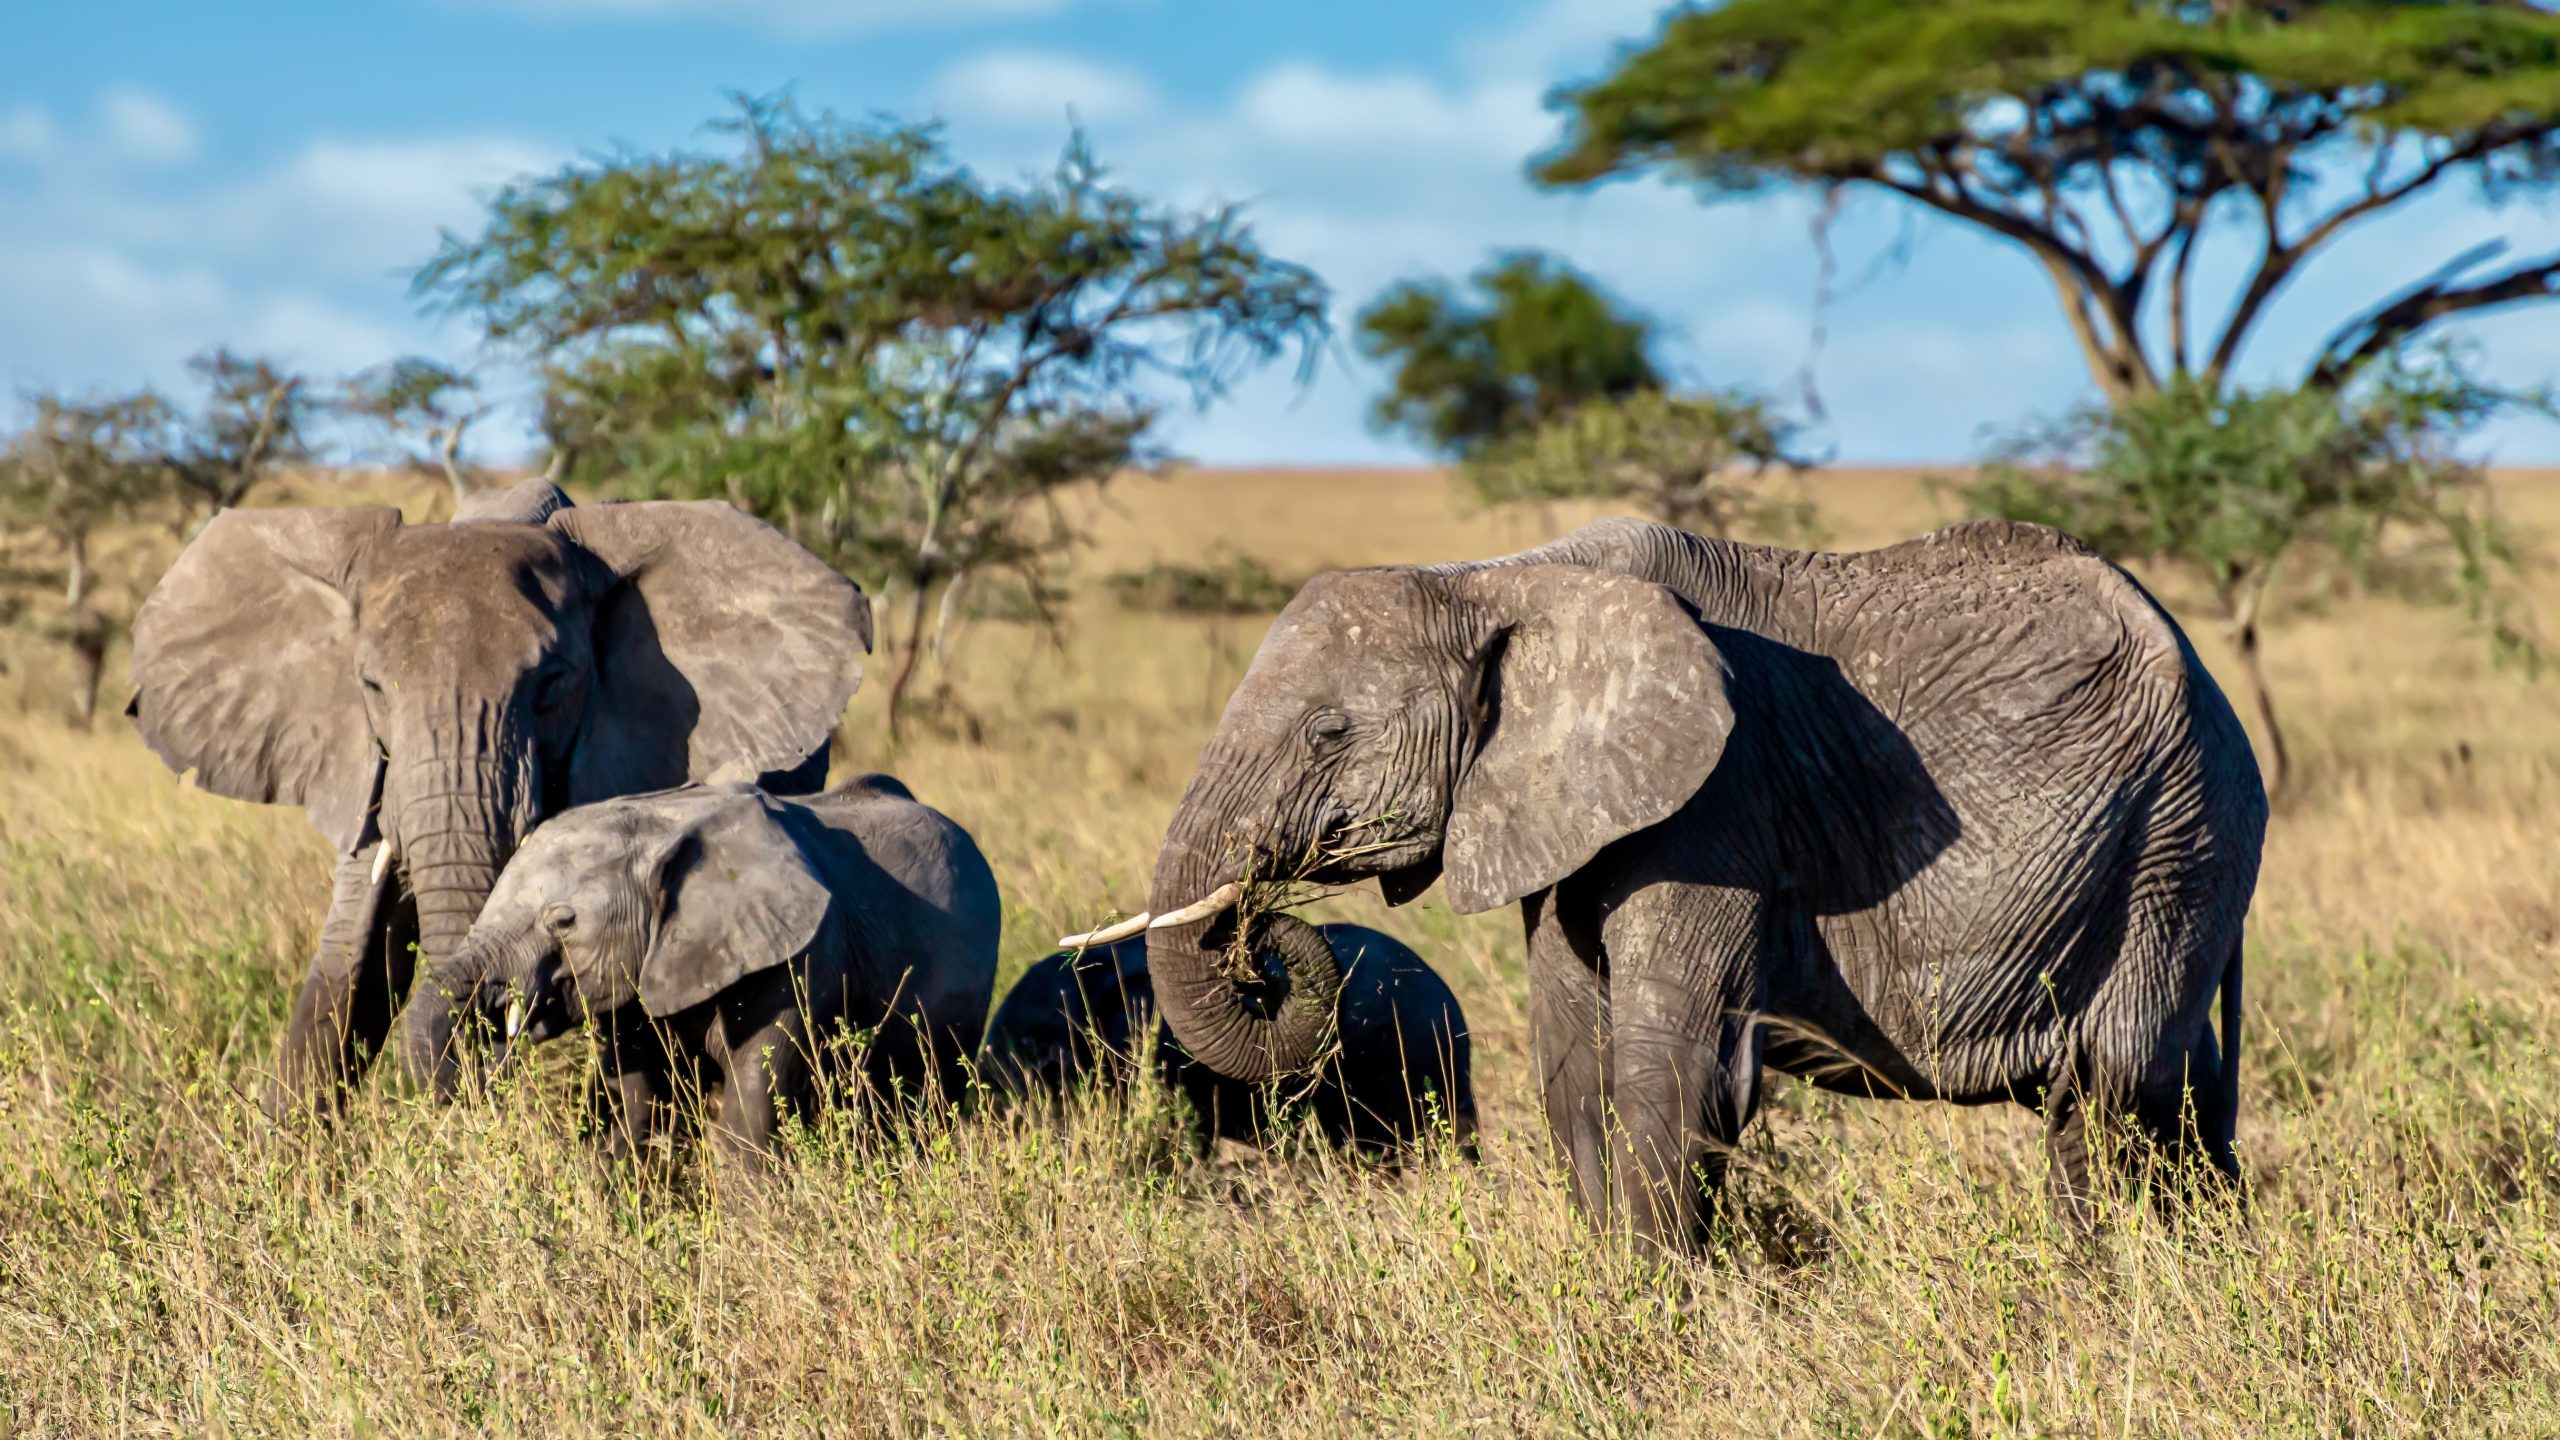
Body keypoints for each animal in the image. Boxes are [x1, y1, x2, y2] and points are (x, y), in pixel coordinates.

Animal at [418, 775, 1000, 1160]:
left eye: (562, 921)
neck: (662, 827)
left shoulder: (796, 961)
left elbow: (745, 1126)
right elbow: (636, 1113)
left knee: (925, 1105)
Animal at [1117, 515, 2266, 1252]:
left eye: (1327, 732)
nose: (1265, 942)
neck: (1502, 580)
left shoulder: (1719, 803)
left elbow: (1664, 1067)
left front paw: (1656, 1309)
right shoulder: (1570, 812)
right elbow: (1571, 1060)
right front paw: (1605, 1298)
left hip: (2177, 834)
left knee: (2111, 1081)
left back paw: (2098, 1289)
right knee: (2177, 1091)